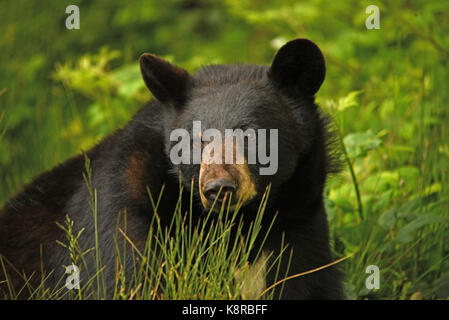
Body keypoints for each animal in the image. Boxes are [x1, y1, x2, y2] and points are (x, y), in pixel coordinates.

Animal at [0, 38, 344, 298]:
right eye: (196, 139)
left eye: (249, 133)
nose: (218, 188)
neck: (238, 224)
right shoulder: (126, 213)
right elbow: (121, 277)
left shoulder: (299, 221)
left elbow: (305, 280)